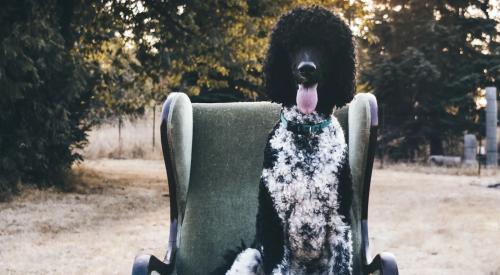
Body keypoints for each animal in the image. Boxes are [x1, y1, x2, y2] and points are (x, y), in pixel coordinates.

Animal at [213, 6, 358, 275]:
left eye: (325, 44)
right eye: (291, 45)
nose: (306, 68)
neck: (307, 134)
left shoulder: (339, 224)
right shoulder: (274, 223)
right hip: (248, 255)